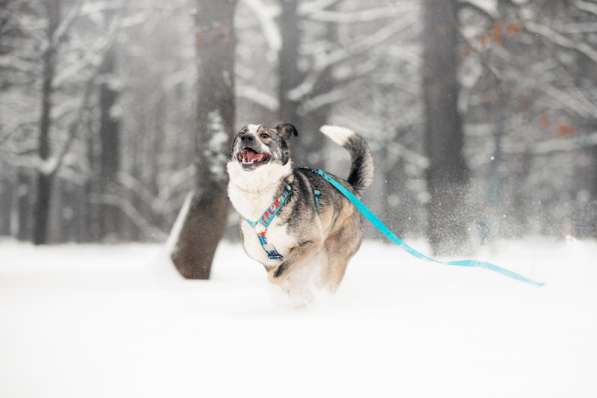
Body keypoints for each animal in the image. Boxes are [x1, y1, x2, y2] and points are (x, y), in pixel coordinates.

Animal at [227, 123, 372, 300]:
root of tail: (350, 187)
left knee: (327, 281)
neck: (257, 189)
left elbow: (276, 275)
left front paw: (300, 298)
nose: (246, 137)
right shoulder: (268, 260)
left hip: (335, 255)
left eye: (264, 135)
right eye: (241, 133)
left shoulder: (310, 243)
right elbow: (279, 277)